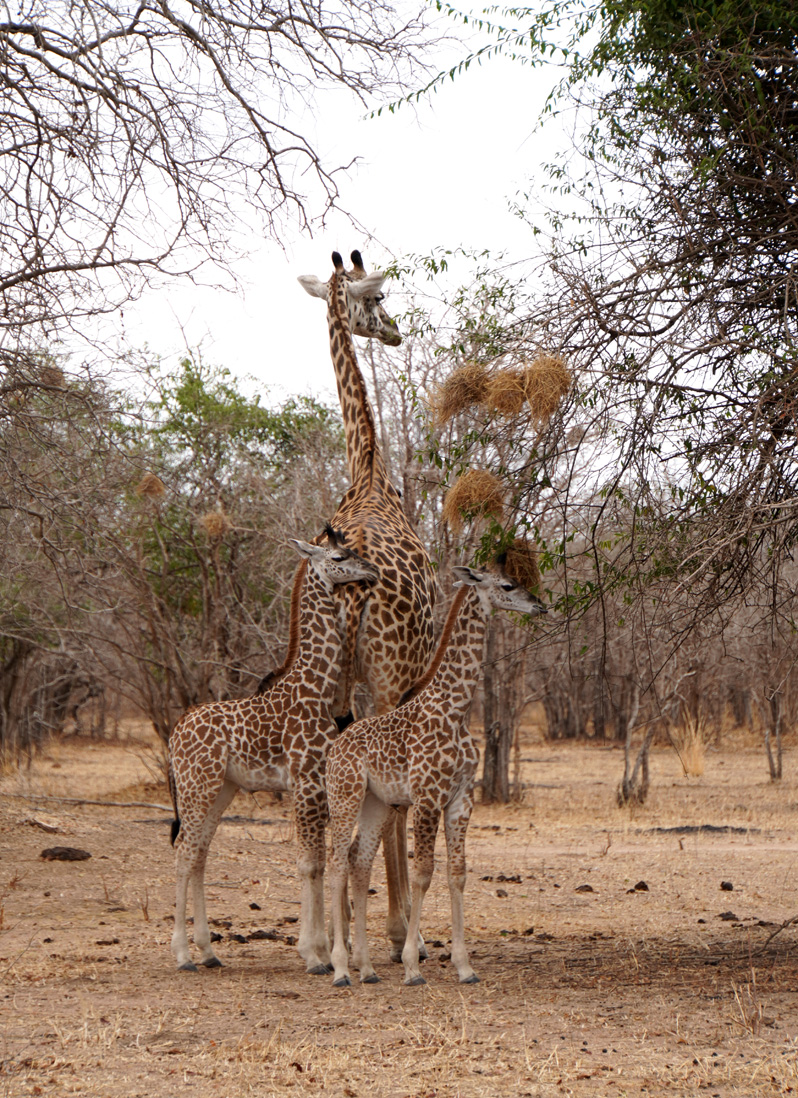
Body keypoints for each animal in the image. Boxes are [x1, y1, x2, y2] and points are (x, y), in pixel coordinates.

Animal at [167, 530, 379, 975]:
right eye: (339, 556)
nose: (372, 571)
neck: (316, 687)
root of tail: (175, 733)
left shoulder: (318, 784)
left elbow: (318, 863)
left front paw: (321, 951)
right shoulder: (305, 782)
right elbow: (308, 864)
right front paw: (313, 955)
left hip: (222, 788)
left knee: (199, 853)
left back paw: (208, 952)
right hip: (197, 784)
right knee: (183, 851)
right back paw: (182, 955)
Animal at [324, 561, 547, 988]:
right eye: (508, 585)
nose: (539, 605)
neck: (456, 708)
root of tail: (335, 747)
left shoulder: (461, 798)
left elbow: (457, 872)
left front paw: (464, 966)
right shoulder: (427, 797)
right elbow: (423, 872)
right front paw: (412, 965)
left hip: (377, 803)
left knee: (359, 862)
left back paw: (367, 968)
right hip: (345, 795)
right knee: (337, 861)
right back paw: (341, 967)